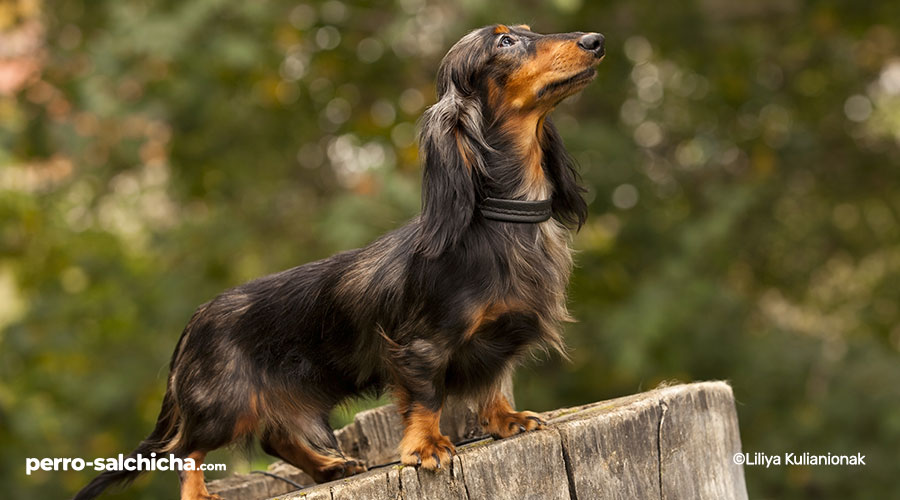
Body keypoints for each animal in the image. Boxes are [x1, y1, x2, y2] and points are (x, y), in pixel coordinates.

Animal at [75, 23, 604, 500]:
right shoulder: (420, 346)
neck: (502, 219)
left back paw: (330, 467)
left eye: (527, 30)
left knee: (276, 436)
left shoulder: (501, 338)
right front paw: (426, 447)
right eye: (506, 41)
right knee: (185, 448)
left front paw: (507, 420)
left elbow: (495, 385)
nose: (595, 41)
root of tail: (195, 321)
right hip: (223, 407)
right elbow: (426, 397)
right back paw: (201, 493)